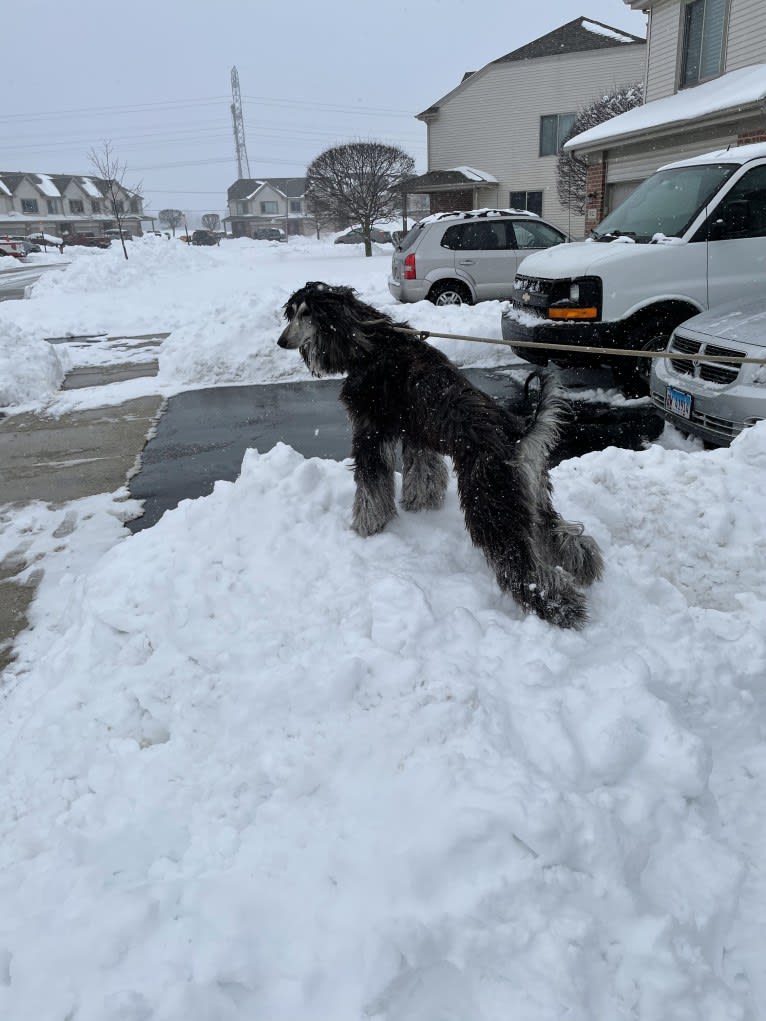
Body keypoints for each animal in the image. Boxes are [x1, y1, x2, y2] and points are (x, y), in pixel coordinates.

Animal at [279, 281, 604, 628]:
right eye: (293, 312)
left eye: (307, 314)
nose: (282, 341)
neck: (368, 343)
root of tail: (519, 435)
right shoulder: (416, 433)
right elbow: (423, 471)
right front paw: (419, 505)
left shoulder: (370, 431)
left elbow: (370, 487)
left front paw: (367, 528)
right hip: (531, 493)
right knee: (559, 532)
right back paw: (585, 566)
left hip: (491, 500)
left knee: (524, 567)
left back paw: (560, 609)